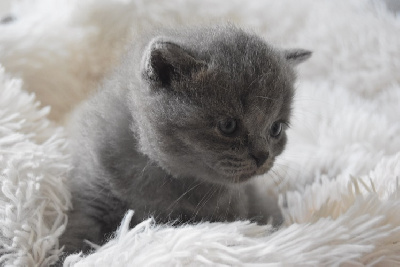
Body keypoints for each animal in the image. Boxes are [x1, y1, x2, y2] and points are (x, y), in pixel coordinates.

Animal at [59, 25, 310, 258]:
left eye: (276, 128)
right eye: (228, 125)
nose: (262, 155)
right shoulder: (91, 195)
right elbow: (77, 233)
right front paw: (72, 256)